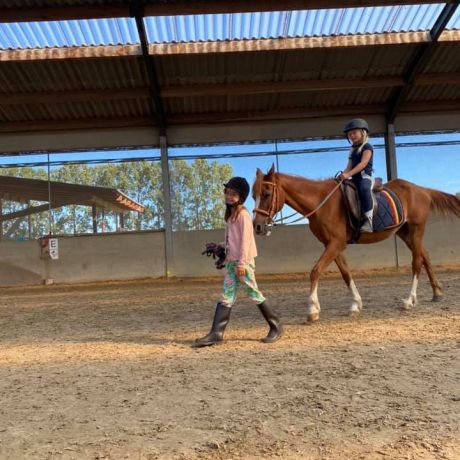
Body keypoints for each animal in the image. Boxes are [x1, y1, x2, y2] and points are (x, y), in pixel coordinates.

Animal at [252, 167, 460, 322]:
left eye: (267, 193)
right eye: (254, 195)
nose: (258, 226)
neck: (321, 202)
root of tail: (421, 190)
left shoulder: (335, 243)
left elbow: (315, 271)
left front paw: (313, 310)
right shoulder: (333, 244)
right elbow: (346, 273)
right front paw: (355, 304)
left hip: (416, 230)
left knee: (417, 261)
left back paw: (409, 300)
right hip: (405, 233)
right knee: (424, 256)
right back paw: (437, 292)